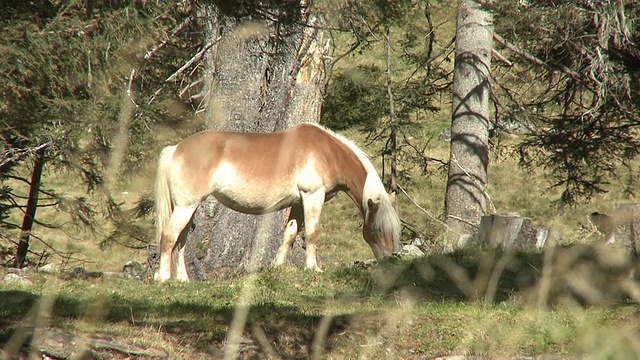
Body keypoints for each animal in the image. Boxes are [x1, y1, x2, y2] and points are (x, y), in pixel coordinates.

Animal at [154, 122, 400, 282]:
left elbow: (290, 234)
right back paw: (164, 278)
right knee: (169, 236)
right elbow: (312, 233)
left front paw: (277, 266)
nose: (389, 261)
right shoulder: (312, 196)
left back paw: (183, 280)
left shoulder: (299, 203)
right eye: (378, 229)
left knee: (181, 240)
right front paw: (313, 268)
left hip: (188, 208)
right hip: (186, 207)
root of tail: (176, 149)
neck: (327, 151)